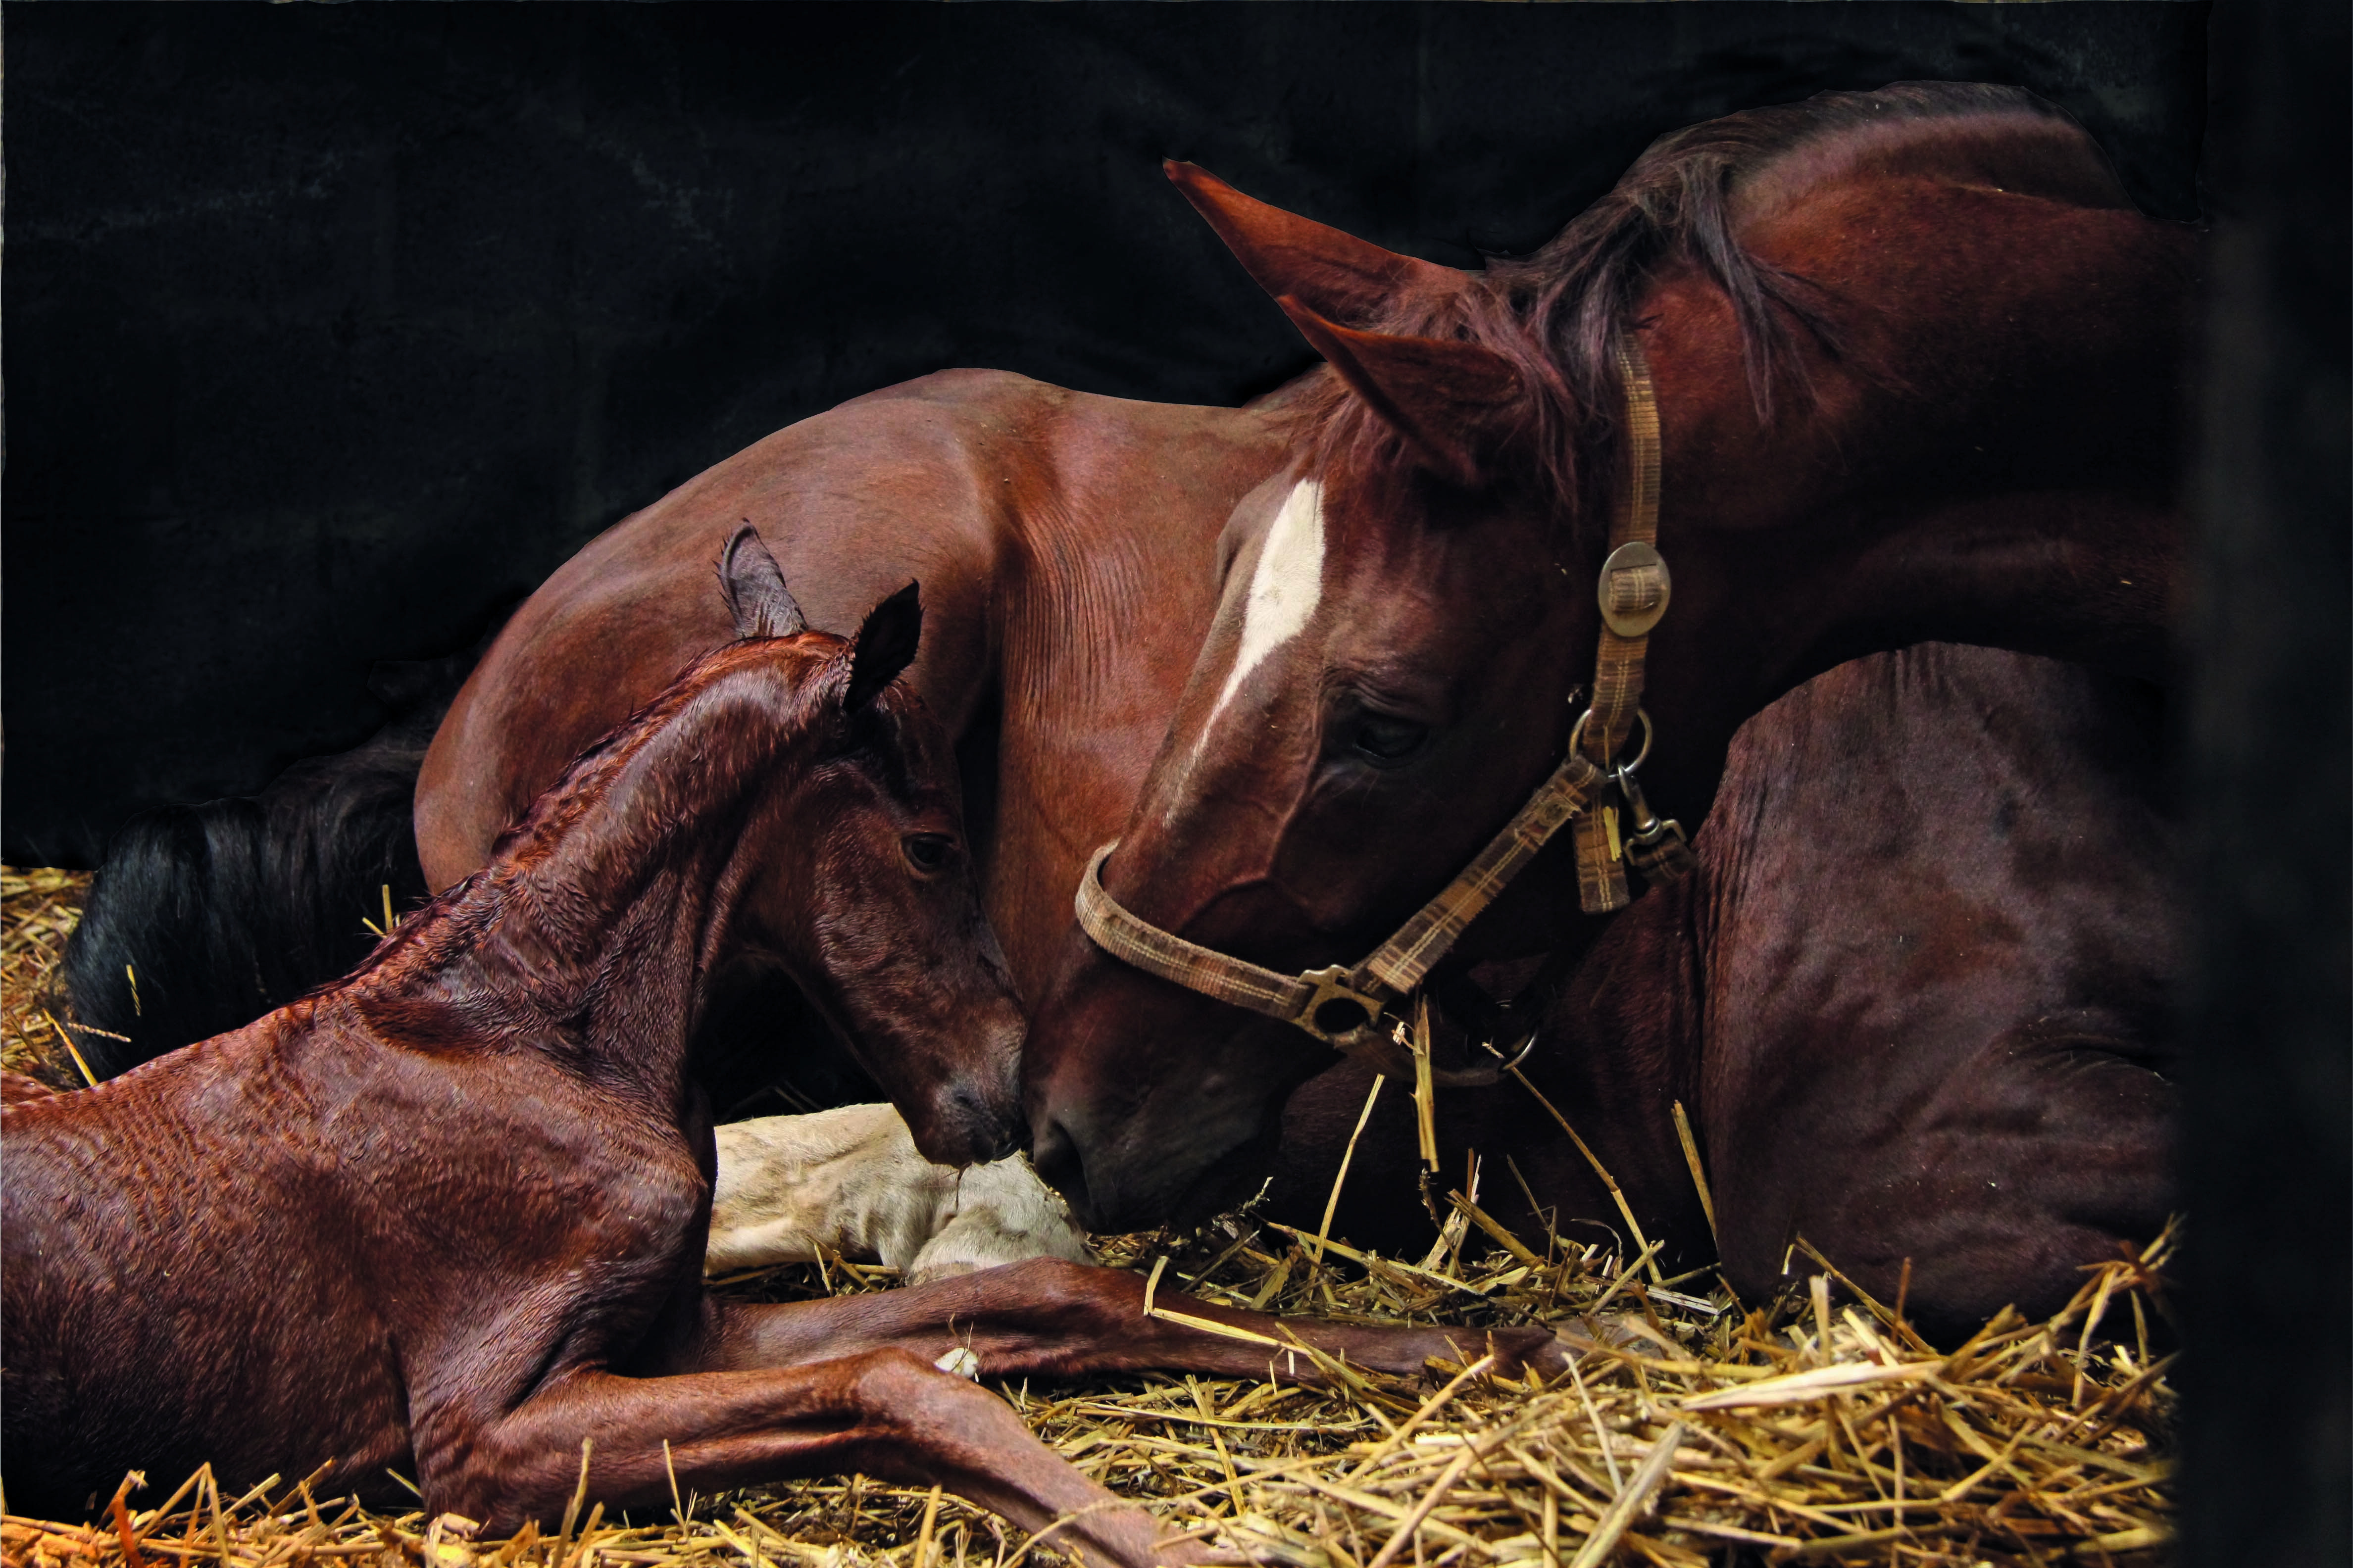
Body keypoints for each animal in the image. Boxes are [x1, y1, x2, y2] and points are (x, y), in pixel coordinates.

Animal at [4, 536, 1543, 1561]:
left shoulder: (682, 1331)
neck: (523, 1038)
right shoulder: (484, 1432)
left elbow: (1050, 1301)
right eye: (930, 843)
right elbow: (901, 1384)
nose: (1012, 1089)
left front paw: (1503, 1339)